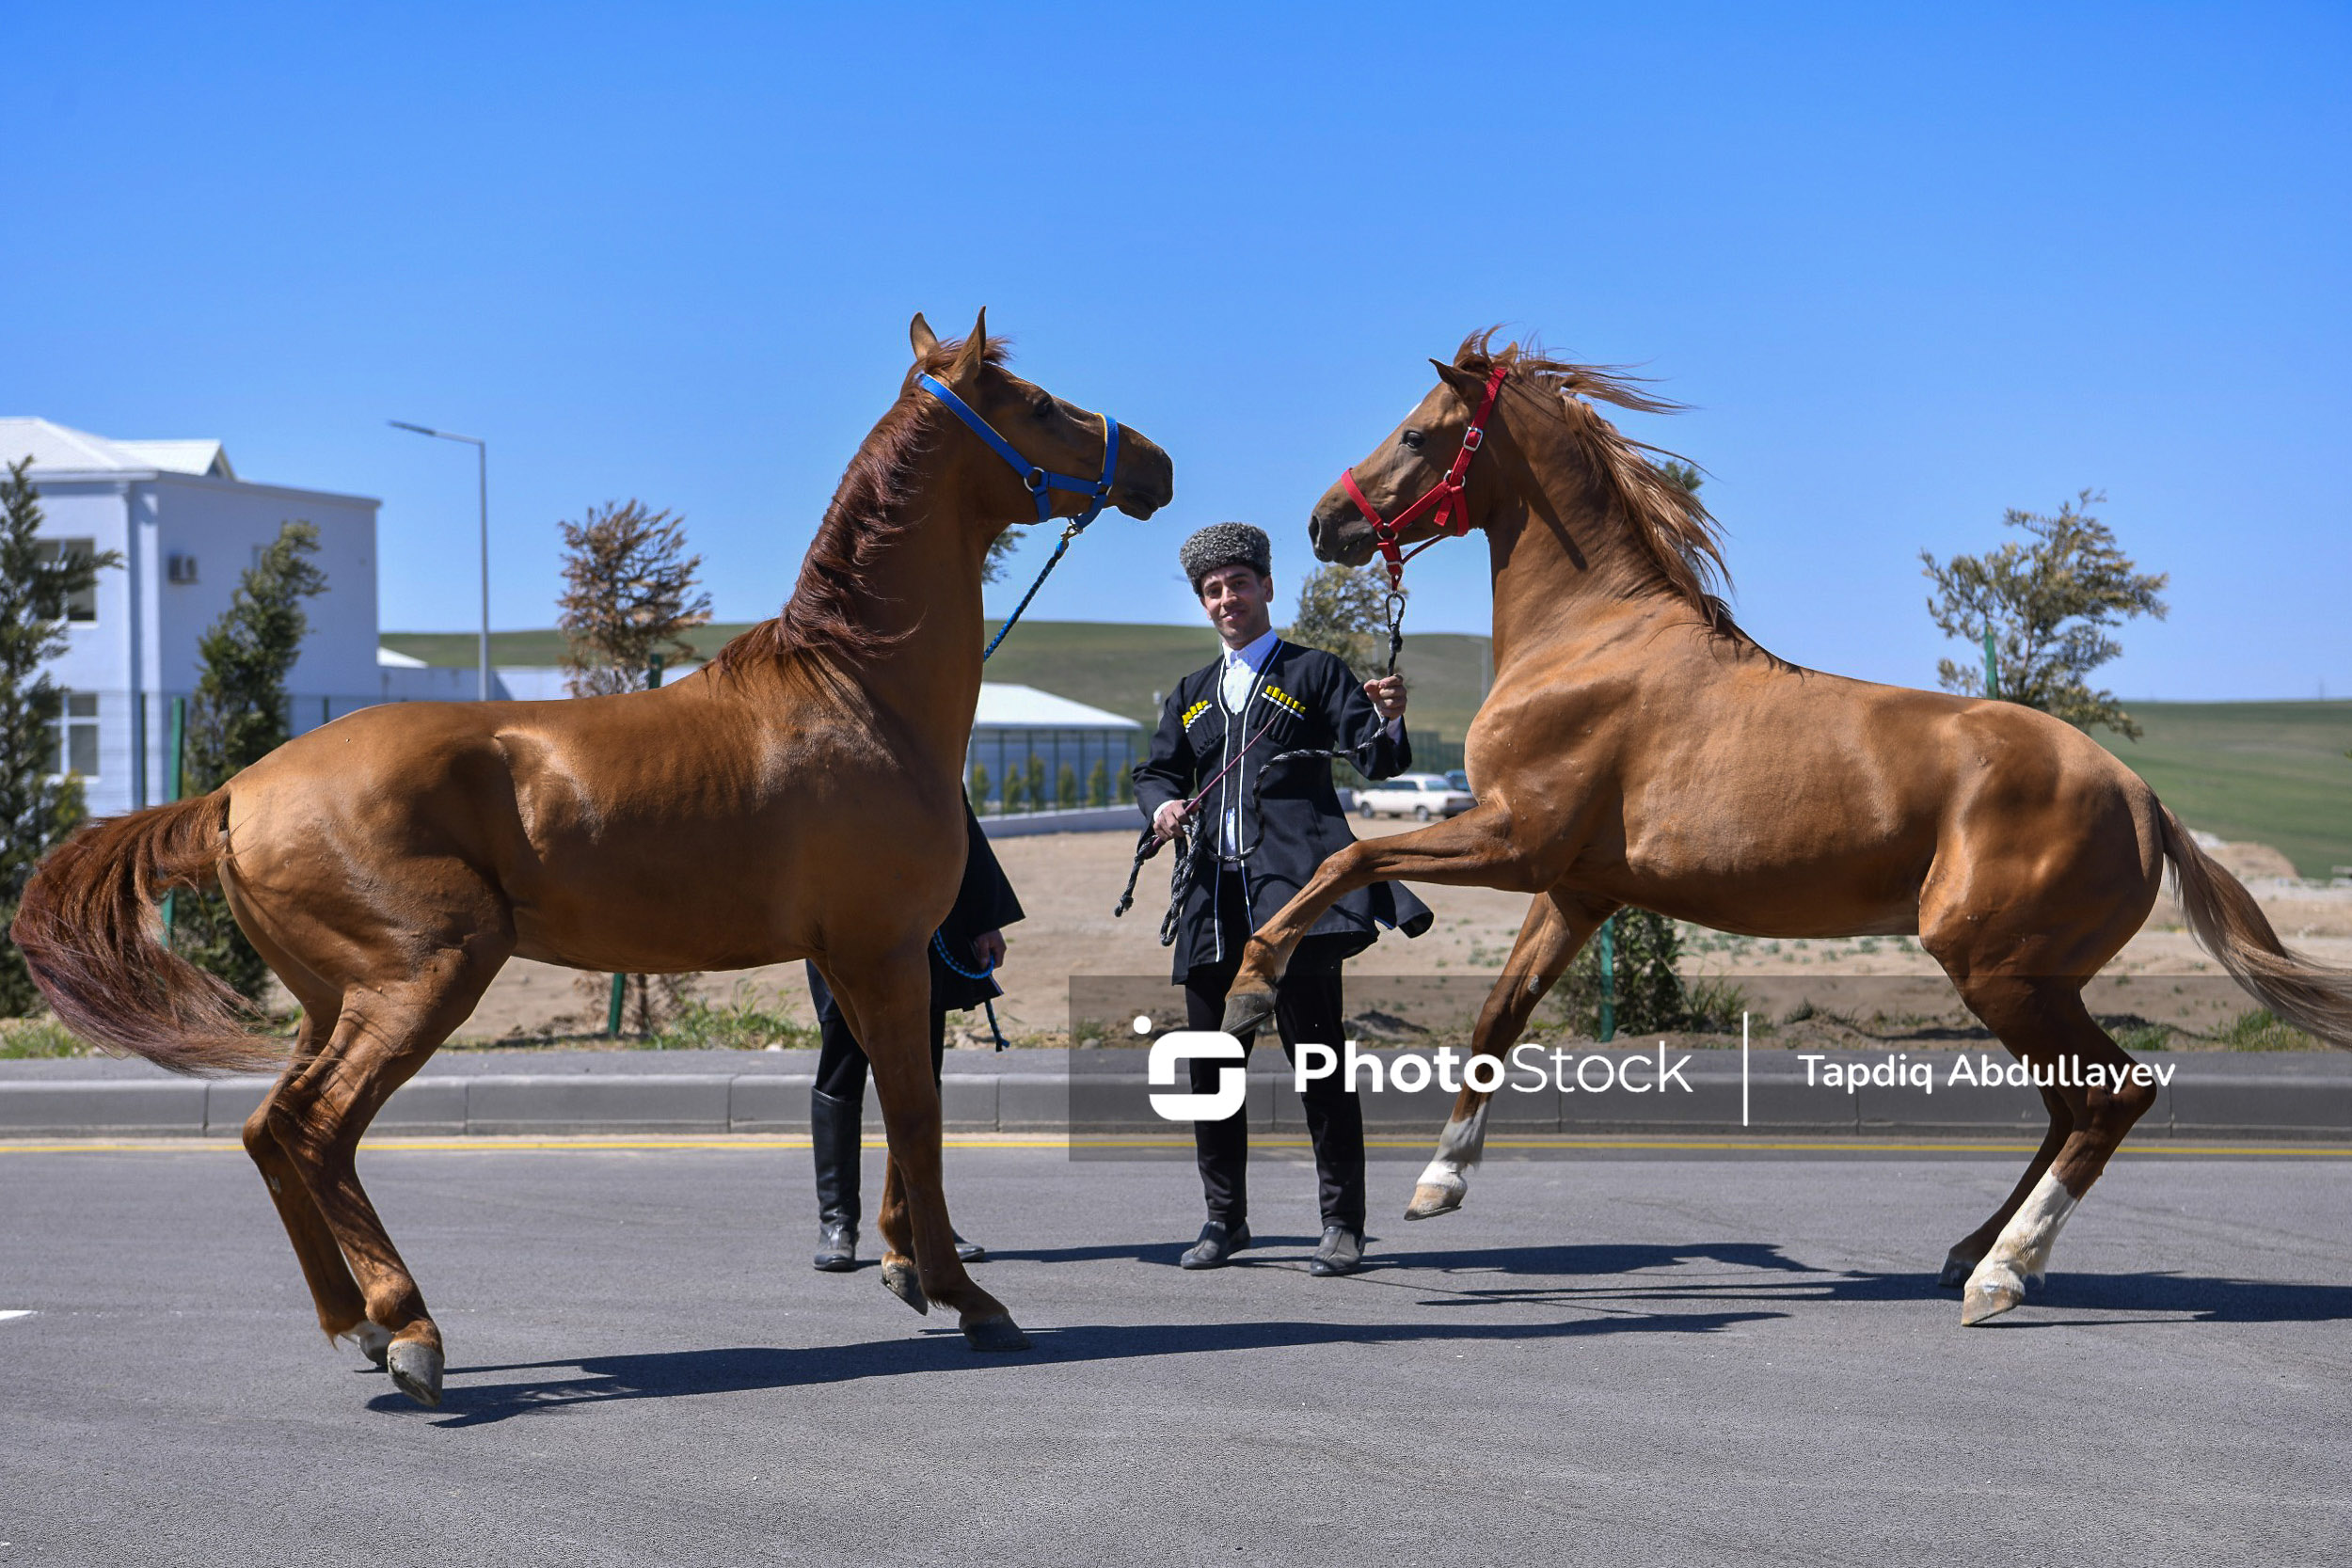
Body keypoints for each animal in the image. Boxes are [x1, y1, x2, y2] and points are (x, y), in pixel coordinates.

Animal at [1232, 331, 2352, 1325]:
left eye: (1419, 433)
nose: (1323, 522)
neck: (1588, 638)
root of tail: (2141, 797)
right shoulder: (1579, 888)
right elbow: (1497, 1016)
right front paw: (1439, 1180)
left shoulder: (1515, 842)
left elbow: (1350, 854)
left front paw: (1251, 983)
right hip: (2033, 981)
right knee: (2069, 1106)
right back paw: (1973, 1252)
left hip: (1995, 968)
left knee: (2112, 1097)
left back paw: (2000, 1274)